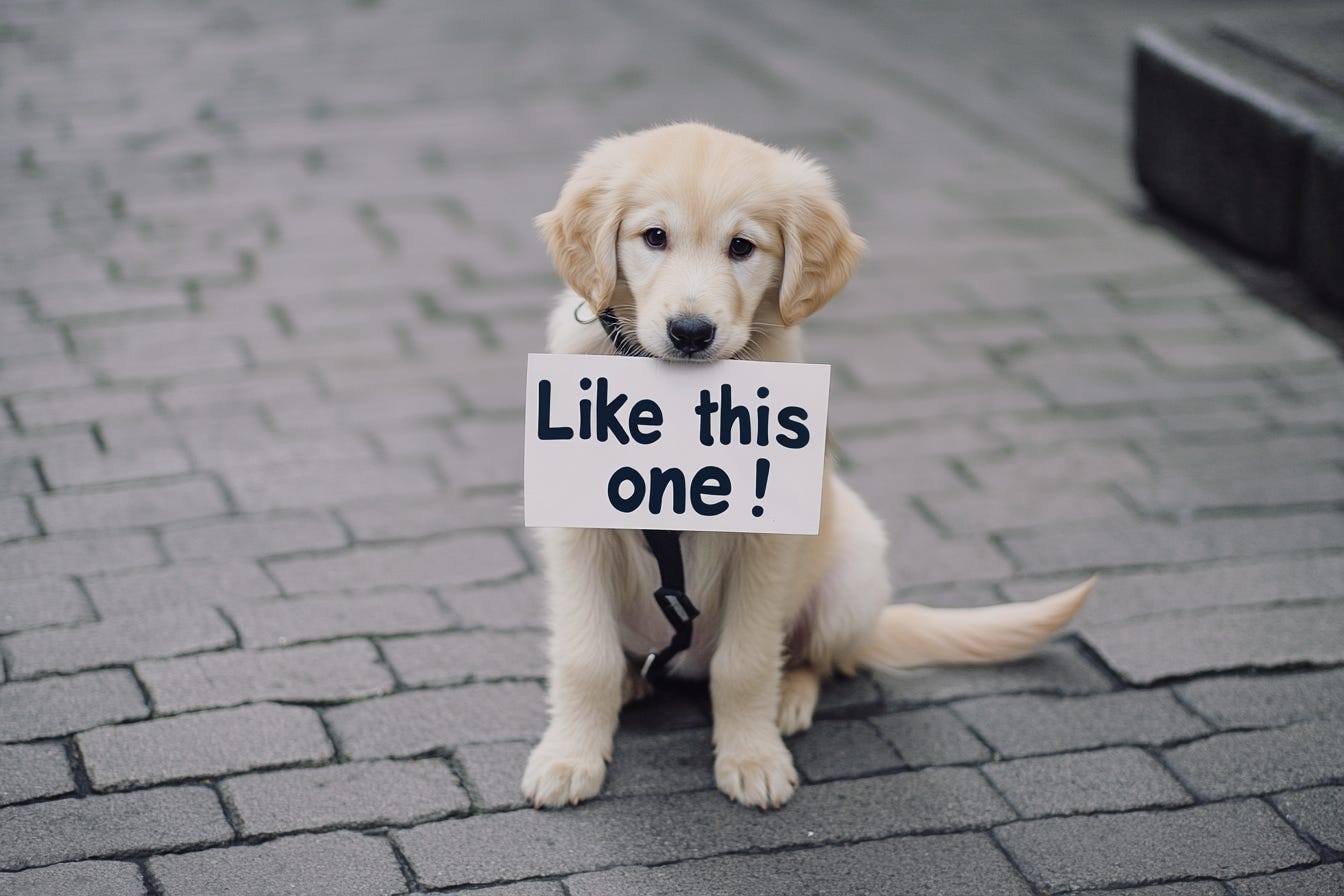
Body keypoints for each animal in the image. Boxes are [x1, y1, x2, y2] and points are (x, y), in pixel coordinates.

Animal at [524, 122, 1091, 811]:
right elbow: (586, 657)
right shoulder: (577, 531)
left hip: (853, 575)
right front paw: (569, 757)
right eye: (654, 237)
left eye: (743, 247)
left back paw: (789, 698)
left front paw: (752, 757)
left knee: (814, 658)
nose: (691, 332)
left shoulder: (767, 541)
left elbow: (743, 664)